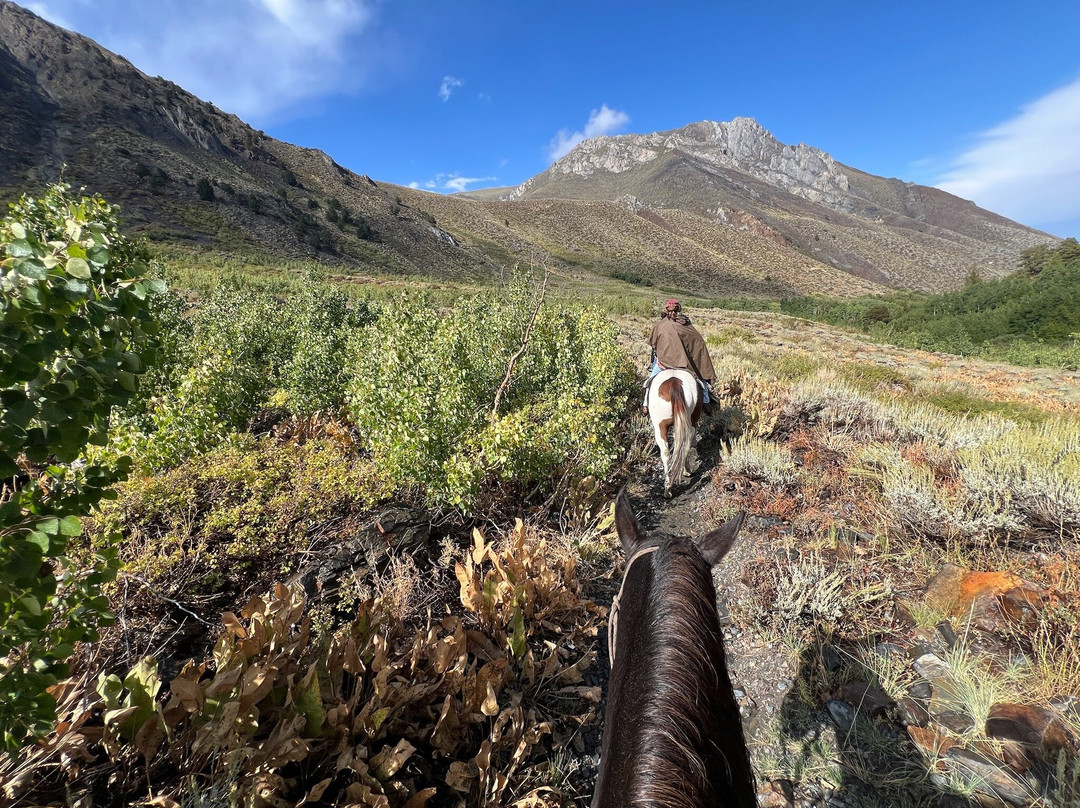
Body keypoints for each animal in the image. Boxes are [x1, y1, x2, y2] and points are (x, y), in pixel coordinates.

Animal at [647, 368, 704, 498]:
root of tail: (675, 384)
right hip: (688, 422)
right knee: (682, 447)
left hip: (660, 426)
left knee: (667, 452)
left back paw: (669, 487)